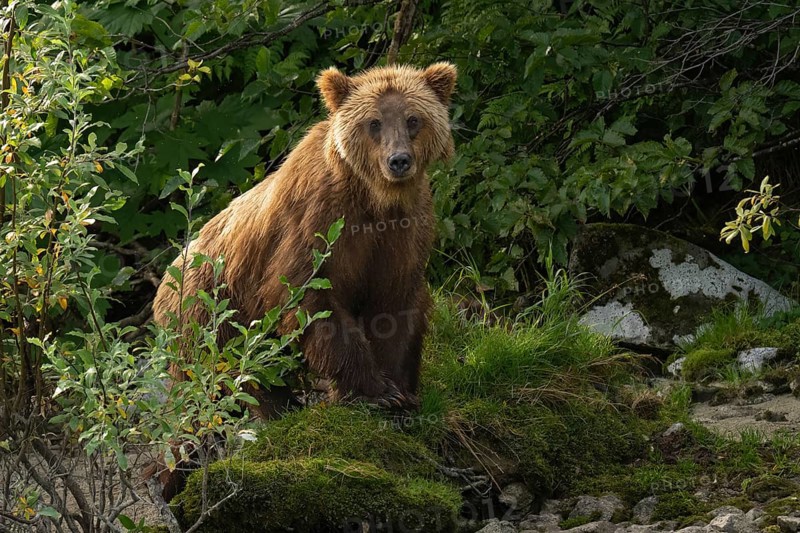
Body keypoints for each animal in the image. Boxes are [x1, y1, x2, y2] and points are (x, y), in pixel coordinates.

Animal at [153, 62, 457, 413]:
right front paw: (373, 390)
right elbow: (308, 295)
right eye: (374, 122)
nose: (399, 161)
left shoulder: (404, 229)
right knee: (216, 371)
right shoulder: (319, 219)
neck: (375, 199)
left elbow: (395, 304)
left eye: (413, 119)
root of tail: (166, 277)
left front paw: (400, 390)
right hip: (207, 306)